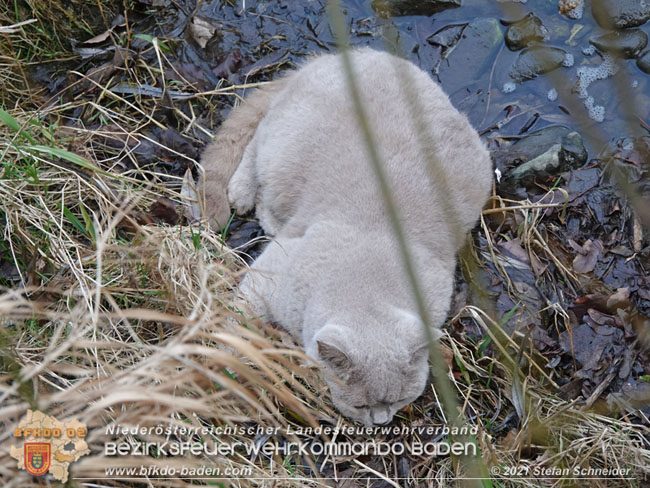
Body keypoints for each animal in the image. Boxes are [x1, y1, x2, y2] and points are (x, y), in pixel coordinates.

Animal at [200, 47, 488, 426]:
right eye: (361, 405)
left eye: (399, 399)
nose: (382, 422)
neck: (367, 279)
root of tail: (347, 53)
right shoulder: (266, 278)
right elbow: (239, 322)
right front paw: (229, 359)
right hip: (283, 145)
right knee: (257, 143)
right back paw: (242, 194)